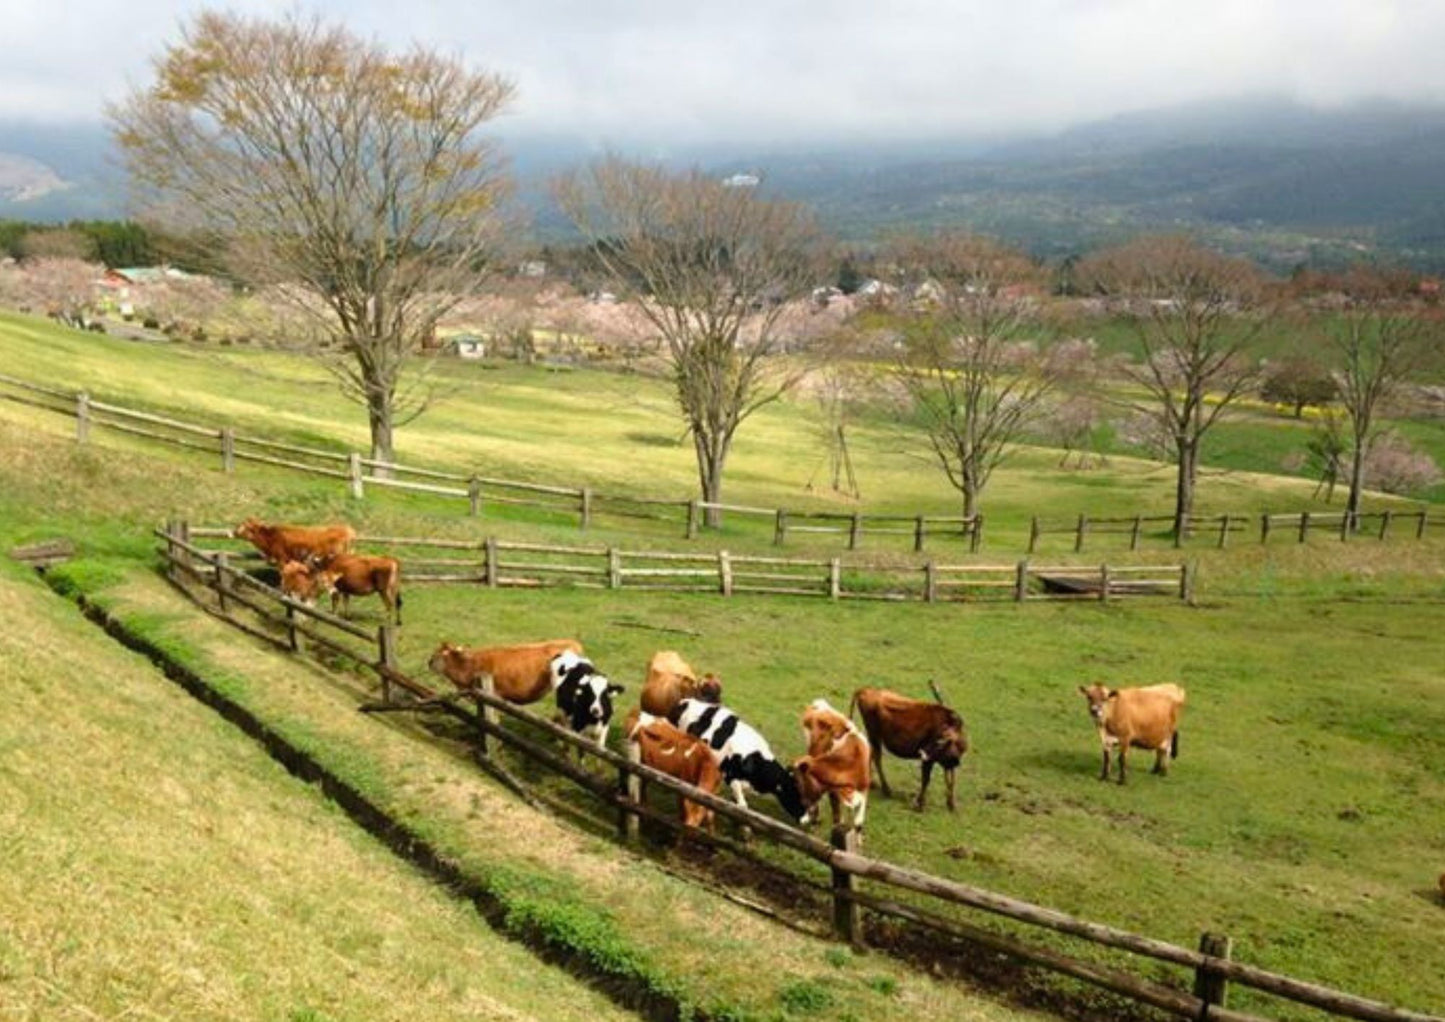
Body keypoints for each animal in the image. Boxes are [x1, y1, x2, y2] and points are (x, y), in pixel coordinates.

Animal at [791, 699, 867, 838]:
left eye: (799, 782)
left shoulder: (863, 789)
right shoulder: (831, 790)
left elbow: (858, 821)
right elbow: (836, 811)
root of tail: (820, 704)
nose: (803, 804)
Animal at [843, 690, 971, 809]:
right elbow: (926, 780)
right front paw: (920, 804)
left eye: (938, 742)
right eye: (936, 738)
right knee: (877, 758)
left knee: (871, 755)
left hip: (874, 736)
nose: (922, 751)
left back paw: (873, 783)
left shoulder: (945, 761)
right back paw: (886, 789)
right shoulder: (929, 760)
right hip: (874, 734)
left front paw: (951, 804)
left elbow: (951, 779)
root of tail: (866, 690)